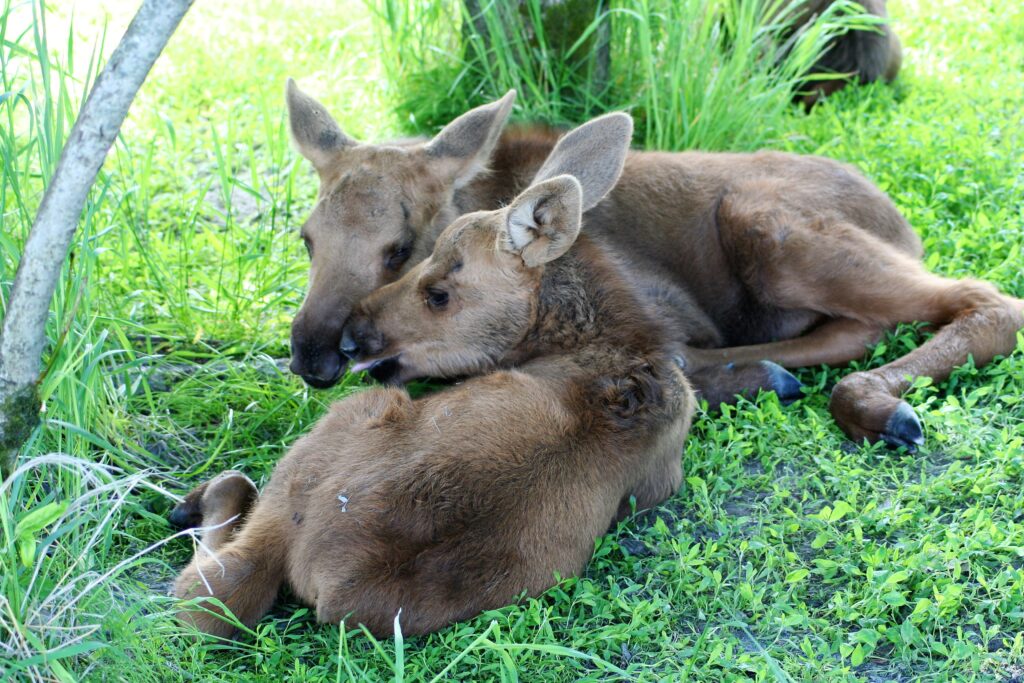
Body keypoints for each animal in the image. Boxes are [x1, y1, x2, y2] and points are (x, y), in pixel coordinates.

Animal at [174, 113, 696, 643]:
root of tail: (329, 580)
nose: (352, 337)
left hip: (347, 422)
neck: (623, 350)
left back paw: (190, 503)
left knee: (209, 587)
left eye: (438, 292)